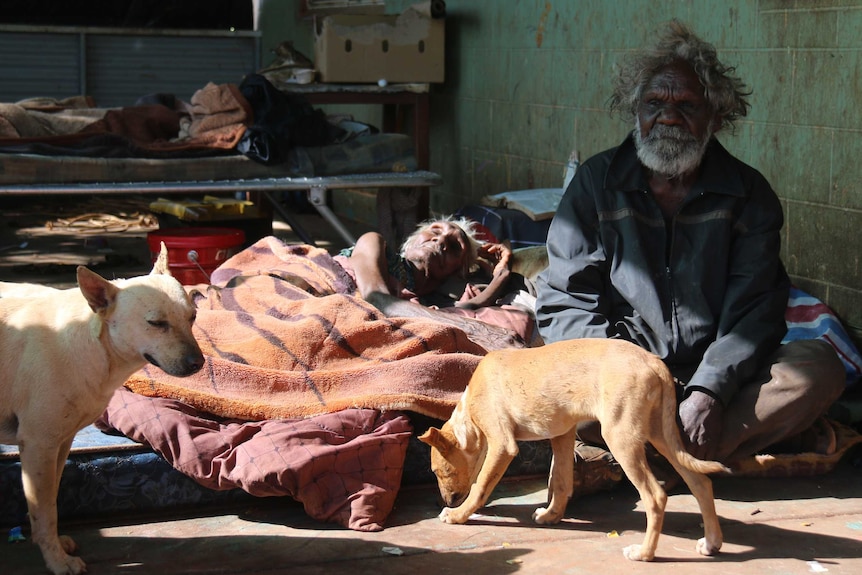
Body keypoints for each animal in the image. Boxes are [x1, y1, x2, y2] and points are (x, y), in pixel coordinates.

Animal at [0, 246, 204, 575]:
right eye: (156, 324)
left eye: (193, 317)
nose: (198, 364)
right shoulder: (38, 445)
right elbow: (44, 508)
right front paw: (57, 560)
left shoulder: (60, 444)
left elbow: (50, 499)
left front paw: (51, 543)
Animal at [422, 338, 732, 564]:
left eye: (440, 471)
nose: (443, 501)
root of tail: (655, 362)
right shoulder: (562, 435)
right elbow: (560, 482)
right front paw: (552, 515)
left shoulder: (503, 444)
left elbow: (480, 485)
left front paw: (458, 515)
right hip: (662, 436)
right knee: (700, 482)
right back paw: (711, 543)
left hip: (621, 437)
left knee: (655, 496)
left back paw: (644, 553)